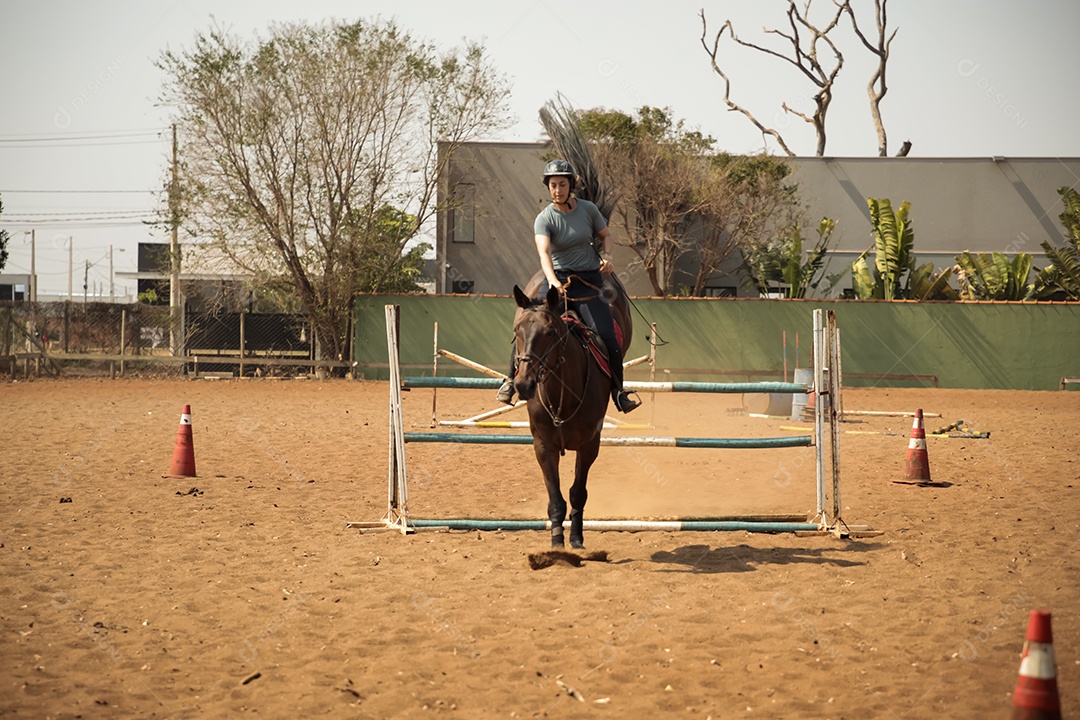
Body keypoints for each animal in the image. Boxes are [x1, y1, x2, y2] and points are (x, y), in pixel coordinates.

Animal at [511, 271, 633, 549]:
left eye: (550, 331)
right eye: (517, 330)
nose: (523, 384)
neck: (562, 395)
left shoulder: (589, 445)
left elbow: (578, 493)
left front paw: (576, 537)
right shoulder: (543, 445)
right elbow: (555, 498)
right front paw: (557, 540)